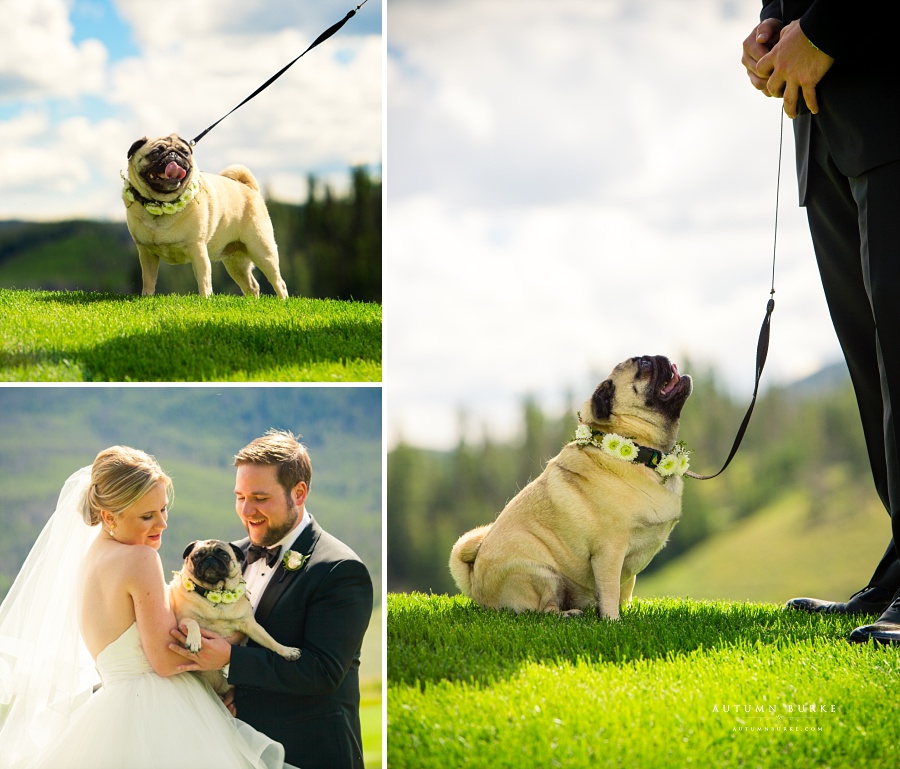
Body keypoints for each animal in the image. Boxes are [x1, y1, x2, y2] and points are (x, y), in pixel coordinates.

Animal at [123, 135, 288, 296]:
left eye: (185, 153)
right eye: (156, 153)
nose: (173, 155)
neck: (162, 204)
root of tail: (249, 187)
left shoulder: (198, 249)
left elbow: (204, 279)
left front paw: (206, 299)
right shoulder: (146, 253)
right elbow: (148, 279)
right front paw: (147, 297)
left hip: (261, 250)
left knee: (279, 283)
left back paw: (282, 301)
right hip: (235, 262)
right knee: (252, 286)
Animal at [171, 536, 304, 692]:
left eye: (223, 555)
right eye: (197, 556)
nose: (209, 558)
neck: (216, 595)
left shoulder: (251, 626)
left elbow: (270, 640)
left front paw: (287, 651)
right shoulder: (181, 620)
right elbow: (192, 622)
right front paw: (194, 641)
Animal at [446, 354, 692, 616]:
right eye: (643, 365)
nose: (660, 358)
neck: (640, 453)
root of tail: (476, 586)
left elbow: (625, 590)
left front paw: (627, 612)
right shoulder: (609, 553)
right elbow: (610, 591)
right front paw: (613, 619)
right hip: (543, 574)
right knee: (545, 610)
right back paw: (568, 614)